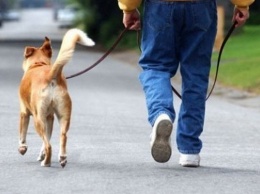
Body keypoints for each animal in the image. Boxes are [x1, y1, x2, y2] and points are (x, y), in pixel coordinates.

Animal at [18, 28, 95, 167]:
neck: (38, 64)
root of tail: (51, 75)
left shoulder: (24, 113)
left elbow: (23, 133)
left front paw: (22, 148)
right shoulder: (50, 117)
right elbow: (47, 138)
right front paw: (41, 154)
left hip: (38, 119)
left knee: (49, 145)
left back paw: (46, 163)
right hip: (63, 115)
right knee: (62, 136)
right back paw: (62, 157)